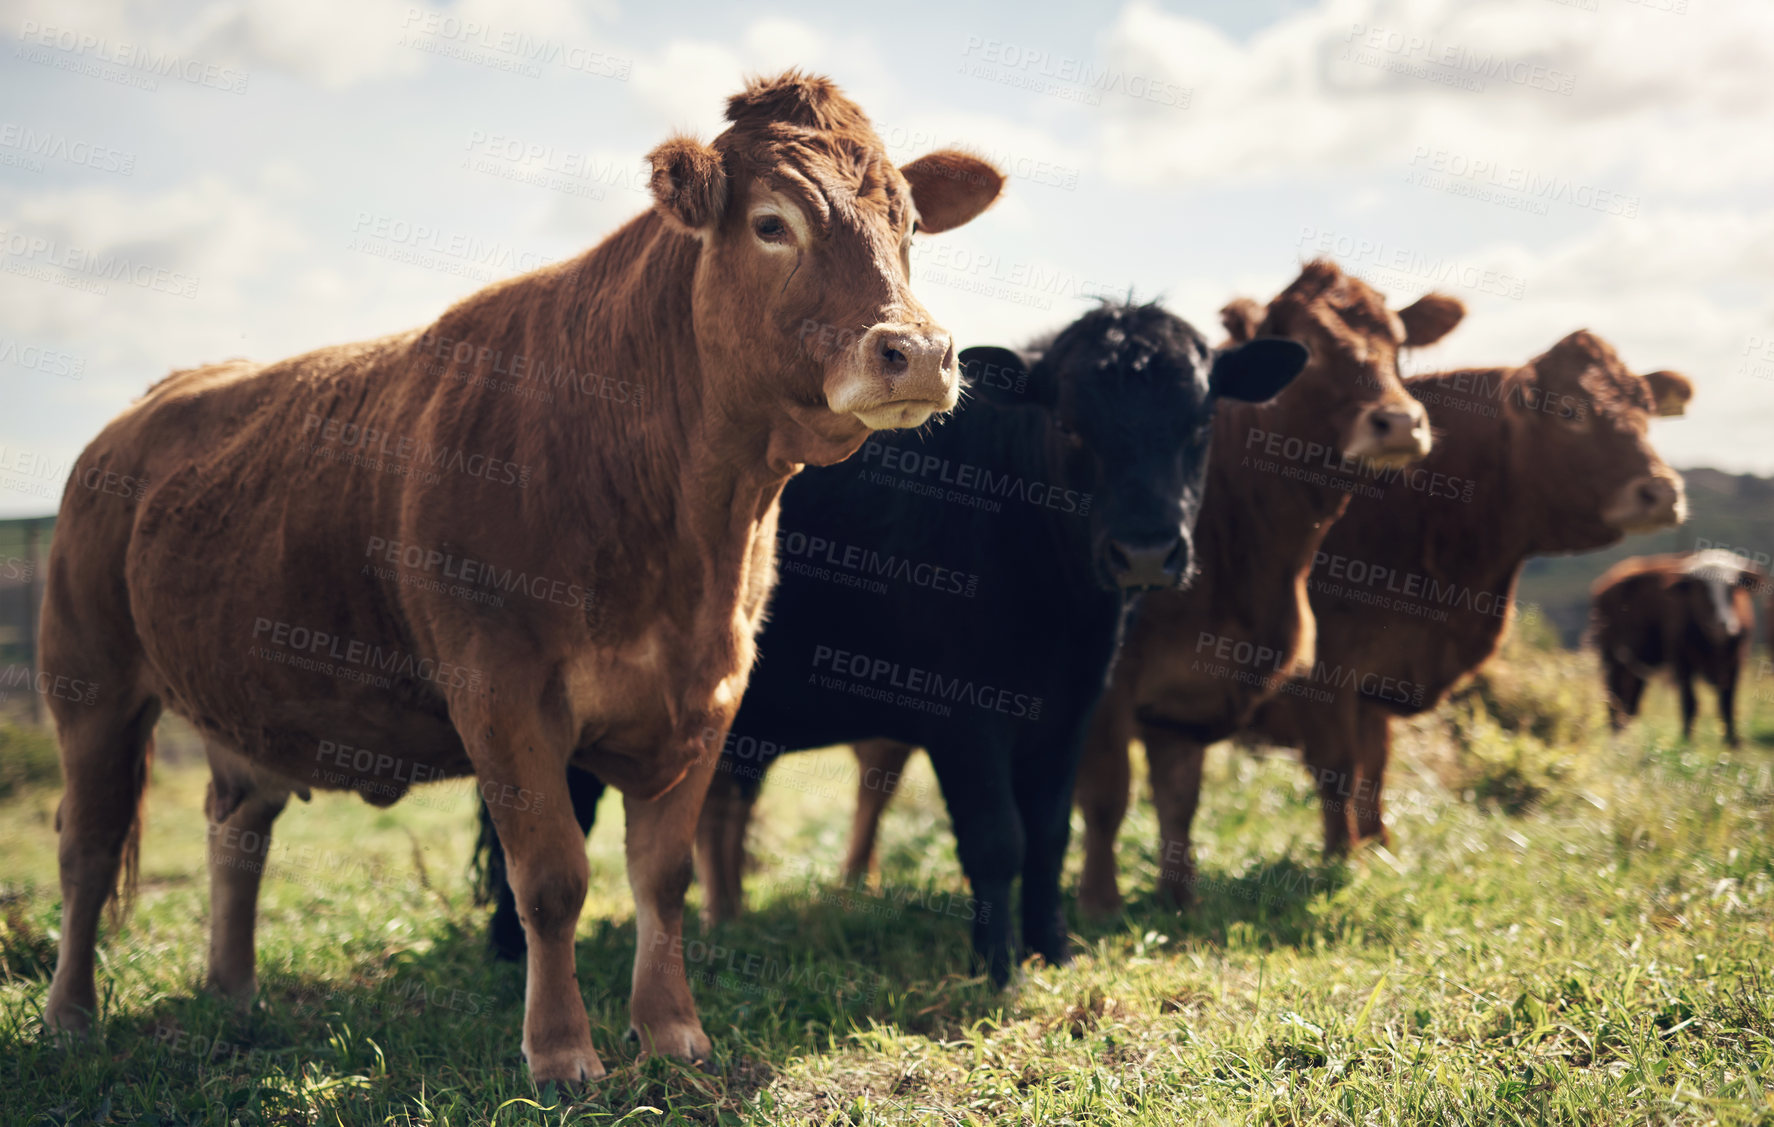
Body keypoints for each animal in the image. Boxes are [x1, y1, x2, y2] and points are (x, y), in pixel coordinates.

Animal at [41, 70, 1007, 1086]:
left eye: (907, 224)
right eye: (772, 223)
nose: (918, 351)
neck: (683, 527)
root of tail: (147, 409)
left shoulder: (706, 698)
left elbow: (663, 876)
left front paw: (673, 1032)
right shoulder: (500, 694)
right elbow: (550, 879)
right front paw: (560, 1051)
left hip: (248, 700)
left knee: (238, 826)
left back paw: (232, 995)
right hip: (89, 681)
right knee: (86, 845)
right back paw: (70, 1015)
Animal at [471, 303, 1305, 986]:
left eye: (1200, 425)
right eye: (1071, 426)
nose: (1145, 551)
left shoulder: (1069, 710)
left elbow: (1049, 833)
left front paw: (1054, 949)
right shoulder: (963, 716)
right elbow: (997, 838)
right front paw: (997, 967)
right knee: (546, 820)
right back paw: (515, 956)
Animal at [1064, 264, 1454, 915]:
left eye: (1398, 343)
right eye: (1307, 347)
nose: (1400, 422)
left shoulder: (1187, 698)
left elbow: (1181, 798)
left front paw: (1180, 899)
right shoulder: (1108, 684)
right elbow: (1106, 794)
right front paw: (1099, 905)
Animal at [1248, 333, 1688, 855]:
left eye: (1646, 410)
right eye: (1569, 410)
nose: (1662, 492)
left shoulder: (1375, 676)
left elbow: (1374, 763)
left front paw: (1379, 845)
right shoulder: (1323, 672)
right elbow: (1338, 766)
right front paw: (1344, 854)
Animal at [1596, 550, 1759, 745]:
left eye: (1732, 587)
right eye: (1701, 588)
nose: (1723, 624)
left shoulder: (1736, 661)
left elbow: (1727, 702)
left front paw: (1733, 742)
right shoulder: (1682, 662)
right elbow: (1690, 703)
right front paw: (1686, 741)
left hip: (1636, 667)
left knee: (1629, 703)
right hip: (1612, 660)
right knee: (1614, 698)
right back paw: (1616, 740)